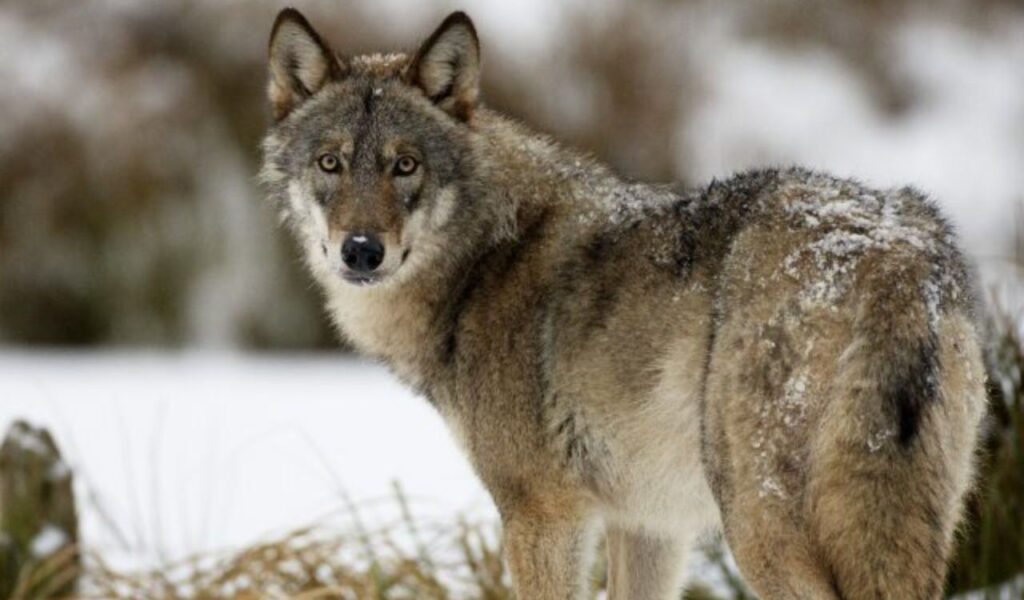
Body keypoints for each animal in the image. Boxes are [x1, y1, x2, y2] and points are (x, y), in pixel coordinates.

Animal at [260, 9, 987, 599]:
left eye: (404, 165)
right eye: (330, 164)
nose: (360, 251)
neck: (482, 262)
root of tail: (897, 250)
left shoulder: (541, 516)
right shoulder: (650, 525)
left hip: (758, 528)